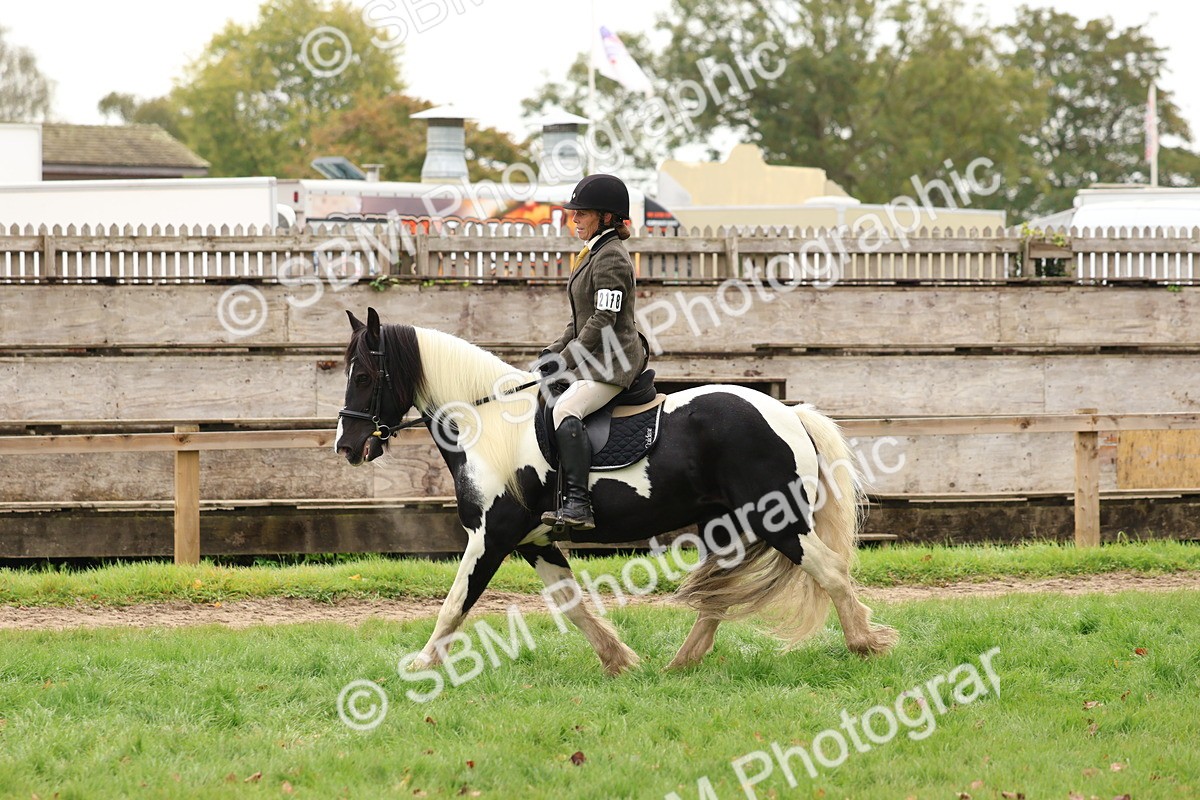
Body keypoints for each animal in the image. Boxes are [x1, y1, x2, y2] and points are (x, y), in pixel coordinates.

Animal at [335, 308, 898, 674]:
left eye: (364, 376)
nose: (347, 445)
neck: (487, 423)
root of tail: (788, 412)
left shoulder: (492, 537)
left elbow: (455, 603)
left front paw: (421, 665)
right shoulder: (534, 541)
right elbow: (571, 604)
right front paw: (619, 660)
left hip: (776, 518)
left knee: (830, 571)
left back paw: (865, 644)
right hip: (727, 524)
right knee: (719, 594)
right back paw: (679, 664)